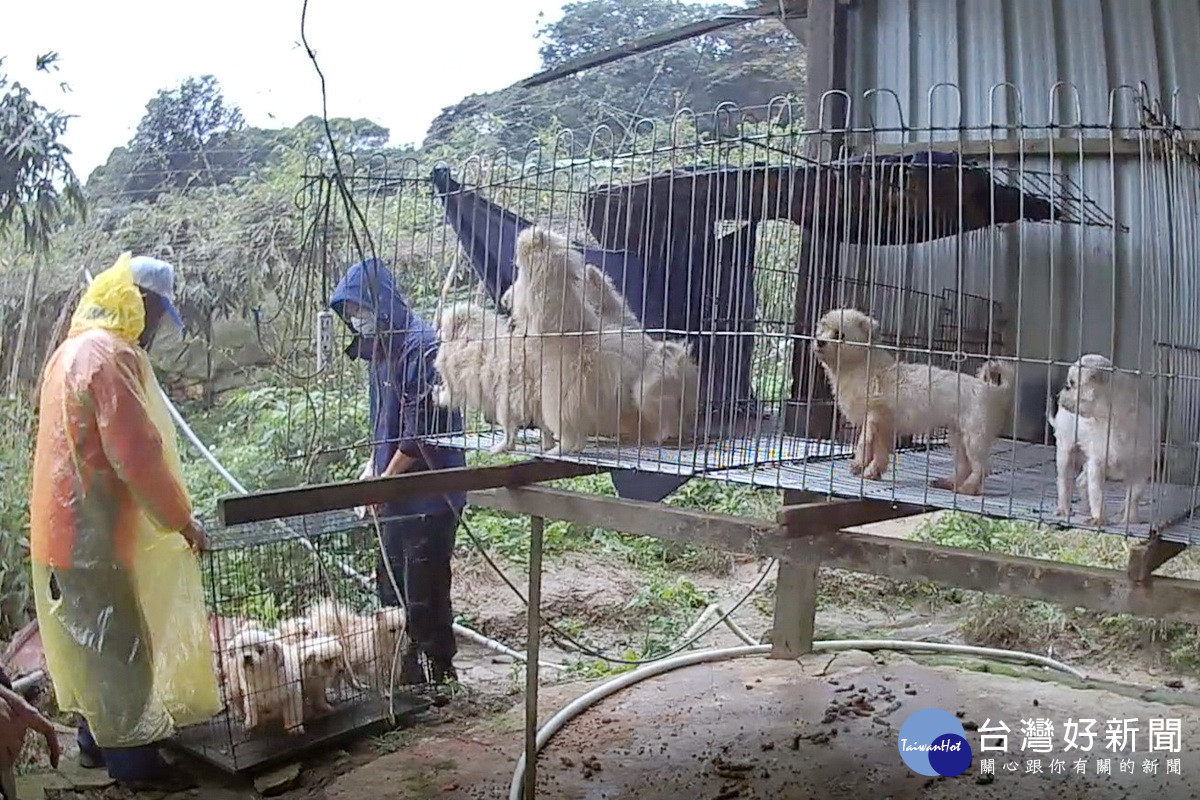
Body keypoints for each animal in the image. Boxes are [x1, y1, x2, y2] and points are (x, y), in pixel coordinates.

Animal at [333, 257, 463, 690]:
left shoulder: (423, 361)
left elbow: (415, 427)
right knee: (396, 585)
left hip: (428, 531)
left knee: (424, 596)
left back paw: (439, 679)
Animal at [436, 298, 556, 453]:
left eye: (443, 327)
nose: (437, 332)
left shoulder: (455, 378)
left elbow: (450, 394)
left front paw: (437, 395)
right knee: (544, 426)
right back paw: (548, 445)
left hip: (507, 399)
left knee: (510, 431)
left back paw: (502, 446)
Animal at [811, 309, 1017, 491]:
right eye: (822, 329)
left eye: (839, 334)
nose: (819, 342)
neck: (862, 367)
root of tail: (993, 390)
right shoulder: (884, 428)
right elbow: (880, 453)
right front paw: (872, 472)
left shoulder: (873, 416)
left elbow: (864, 443)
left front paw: (858, 464)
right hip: (957, 436)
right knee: (964, 466)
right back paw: (949, 484)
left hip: (975, 437)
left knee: (982, 468)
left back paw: (968, 489)